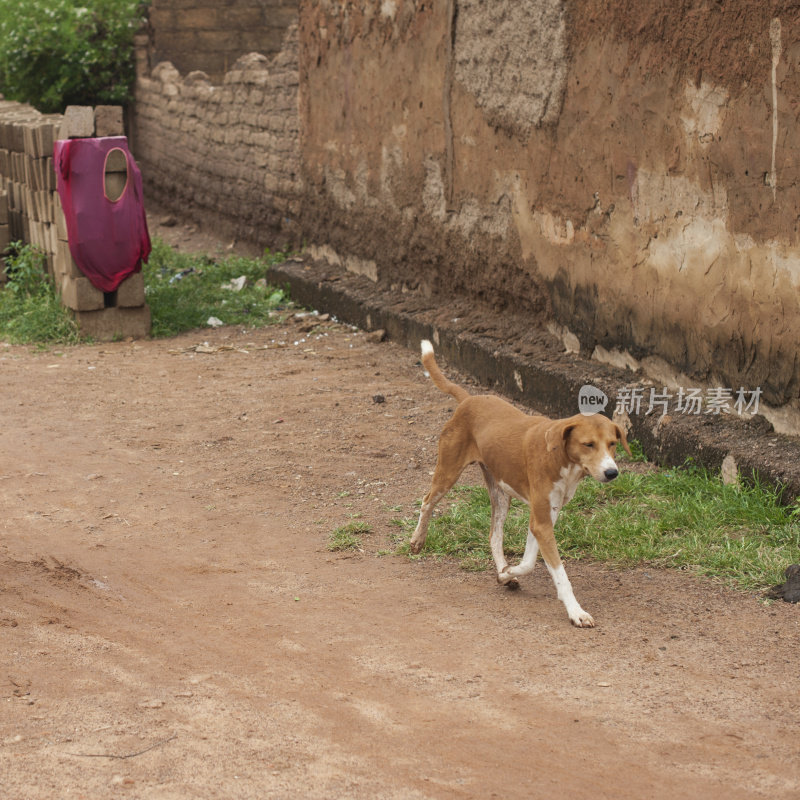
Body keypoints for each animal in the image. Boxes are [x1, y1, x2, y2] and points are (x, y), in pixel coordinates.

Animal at [412, 338, 632, 624]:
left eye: (613, 443)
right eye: (588, 444)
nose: (611, 472)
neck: (560, 457)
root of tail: (470, 399)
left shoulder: (545, 515)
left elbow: (528, 562)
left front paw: (506, 573)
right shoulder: (541, 521)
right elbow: (560, 574)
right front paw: (576, 611)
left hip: (500, 493)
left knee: (494, 535)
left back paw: (505, 574)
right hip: (448, 472)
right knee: (427, 501)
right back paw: (417, 539)